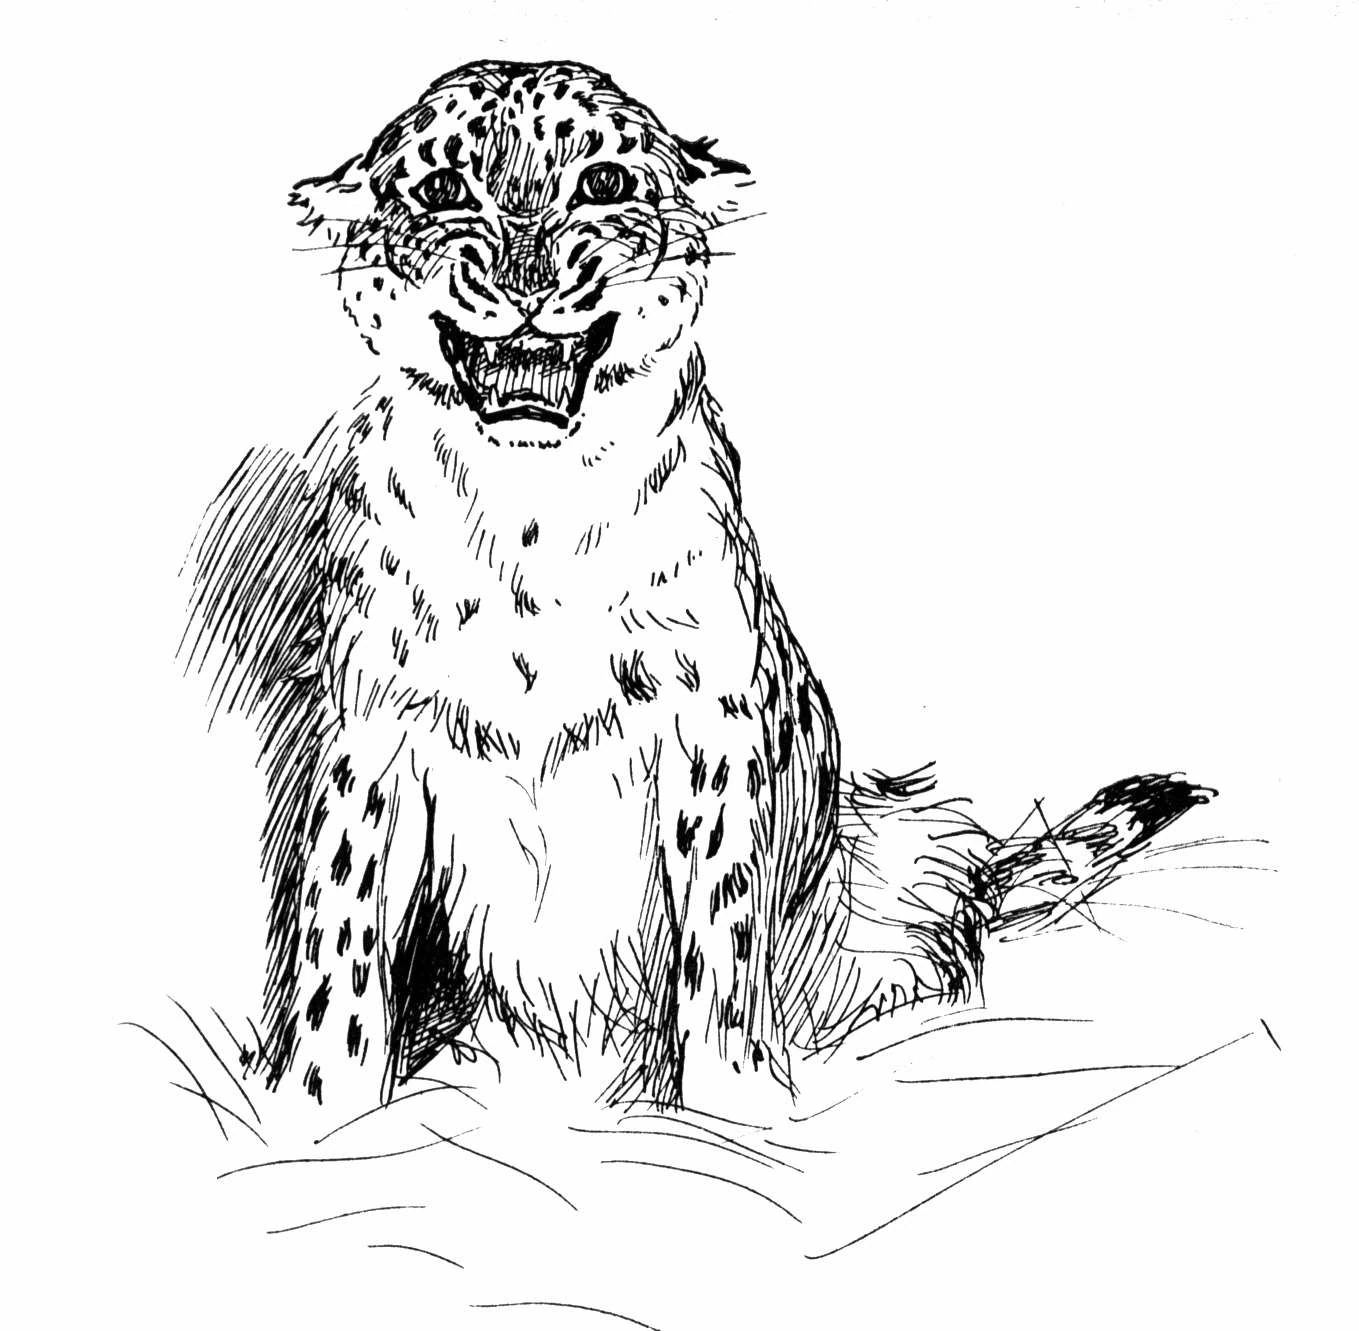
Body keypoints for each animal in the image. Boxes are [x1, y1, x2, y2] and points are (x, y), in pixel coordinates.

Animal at [183, 59, 1211, 1120]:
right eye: (441, 188)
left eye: (601, 181)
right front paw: (318, 1109)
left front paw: (732, 1110)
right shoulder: (375, 738)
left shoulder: (707, 727)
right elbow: (338, 935)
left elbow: (720, 931)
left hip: (900, 839)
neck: (530, 520)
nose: (525, 282)